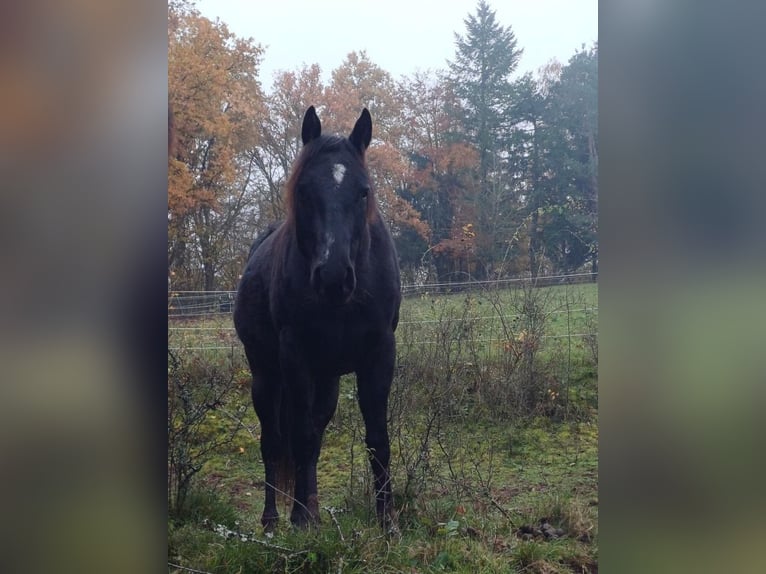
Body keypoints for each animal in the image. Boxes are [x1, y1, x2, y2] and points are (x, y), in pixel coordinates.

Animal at [234, 106, 401, 531]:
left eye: (363, 192)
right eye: (304, 191)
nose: (333, 276)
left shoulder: (380, 354)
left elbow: (377, 437)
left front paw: (387, 519)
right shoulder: (296, 357)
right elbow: (300, 438)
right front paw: (299, 518)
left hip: (326, 379)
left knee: (312, 436)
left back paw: (310, 506)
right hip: (266, 375)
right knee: (275, 442)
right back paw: (275, 518)